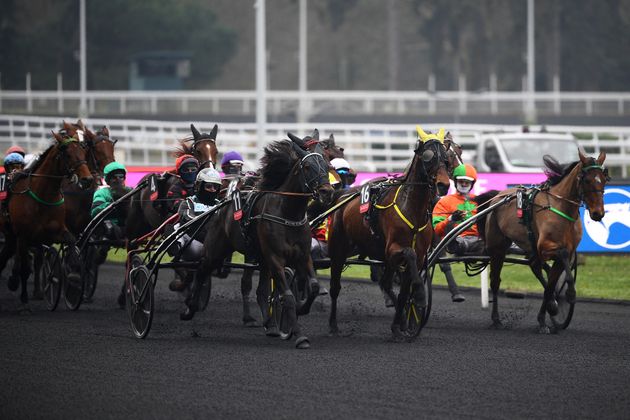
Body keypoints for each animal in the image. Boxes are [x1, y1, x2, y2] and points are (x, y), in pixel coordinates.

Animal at [0, 130, 92, 306]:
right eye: (68, 154)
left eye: (84, 152)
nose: (87, 179)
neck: (43, 195)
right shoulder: (24, 236)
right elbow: (25, 269)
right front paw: (24, 300)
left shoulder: (55, 232)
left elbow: (71, 242)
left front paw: (74, 276)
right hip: (13, 234)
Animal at [191, 136, 336, 350]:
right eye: (308, 166)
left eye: (326, 165)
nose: (327, 192)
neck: (288, 213)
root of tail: (222, 206)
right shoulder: (276, 258)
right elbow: (287, 296)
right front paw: (299, 335)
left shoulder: (303, 256)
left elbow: (315, 286)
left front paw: (301, 309)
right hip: (217, 249)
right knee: (202, 270)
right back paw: (189, 308)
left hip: (260, 257)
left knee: (260, 290)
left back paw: (271, 325)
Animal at [326, 130, 454, 340]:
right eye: (428, 157)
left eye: (446, 158)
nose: (443, 185)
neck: (411, 207)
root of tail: (342, 198)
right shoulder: (394, 249)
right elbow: (409, 254)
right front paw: (419, 296)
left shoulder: (418, 256)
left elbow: (403, 292)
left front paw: (399, 325)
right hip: (338, 251)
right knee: (335, 287)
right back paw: (333, 325)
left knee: (385, 283)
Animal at [478, 149, 612, 334]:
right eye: (587, 180)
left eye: (604, 179)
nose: (598, 213)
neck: (561, 208)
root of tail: (497, 196)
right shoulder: (546, 248)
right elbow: (561, 258)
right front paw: (569, 294)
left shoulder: (563, 253)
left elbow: (550, 285)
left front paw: (545, 317)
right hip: (498, 248)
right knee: (496, 281)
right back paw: (496, 319)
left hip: (528, 244)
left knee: (535, 266)